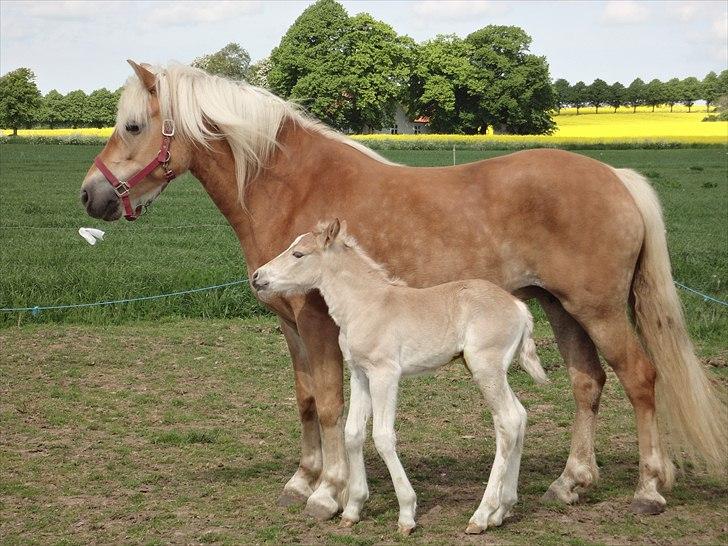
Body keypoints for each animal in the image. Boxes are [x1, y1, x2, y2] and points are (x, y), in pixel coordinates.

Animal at [253, 217, 548, 532]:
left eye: (298, 254)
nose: (258, 277)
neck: (366, 305)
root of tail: (520, 307)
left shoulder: (385, 374)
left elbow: (383, 436)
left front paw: (407, 513)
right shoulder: (359, 373)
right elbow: (353, 433)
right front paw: (353, 509)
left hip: (486, 367)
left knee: (507, 421)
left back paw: (482, 515)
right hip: (492, 371)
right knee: (519, 416)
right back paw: (502, 509)